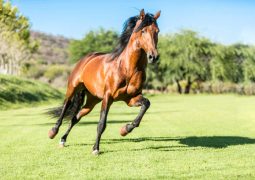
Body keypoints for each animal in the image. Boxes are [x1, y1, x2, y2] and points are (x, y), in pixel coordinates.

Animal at [48, 8, 160, 155]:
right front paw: (95, 149)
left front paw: (125, 130)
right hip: (73, 88)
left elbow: (146, 104)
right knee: (66, 106)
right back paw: (53, 132)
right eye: (143, 31)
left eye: (157, 31)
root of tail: (86, 58)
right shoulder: (108, 97)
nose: (154, 57)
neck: (127, 68)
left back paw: (63, 140)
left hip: (92, 100)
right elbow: (101, 123)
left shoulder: (131, 98)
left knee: (75, 118)